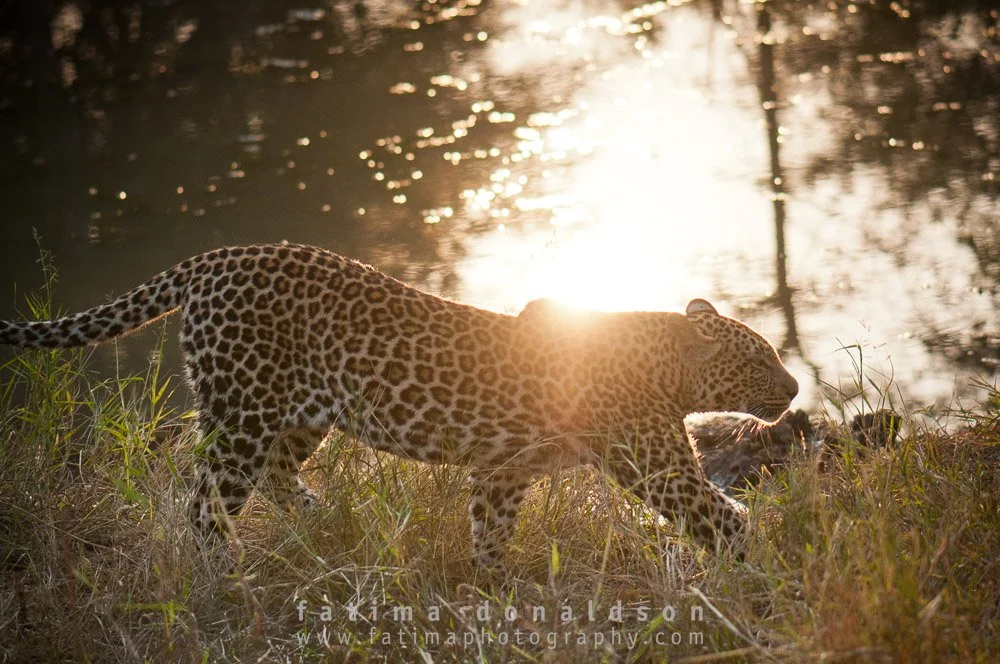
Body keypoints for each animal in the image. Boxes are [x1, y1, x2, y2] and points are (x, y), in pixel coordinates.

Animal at [0, 243, 798, 567]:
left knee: (273, 476)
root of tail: (213, 259)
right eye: (761, 357)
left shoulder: (503, 469)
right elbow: (724, 519)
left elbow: (489, 527)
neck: (664, 362)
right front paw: (764, 572)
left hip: (300, 416)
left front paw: (494, 586)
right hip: (241, 413)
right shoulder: (657, 465)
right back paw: (226, 575)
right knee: (202, 503)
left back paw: (323, 522)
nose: (794, 391)